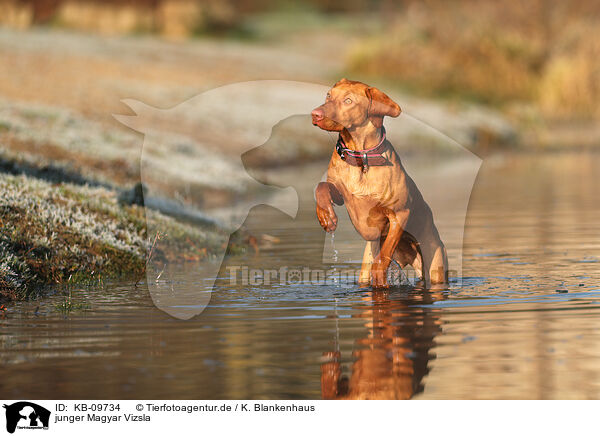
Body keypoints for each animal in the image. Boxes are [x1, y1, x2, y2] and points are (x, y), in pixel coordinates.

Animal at [312, 79, 448, 288]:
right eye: (328, 95)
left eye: (348, 100)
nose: (315, 114)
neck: (361, 158)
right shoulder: (341, 194)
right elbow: (322, 187)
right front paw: (326, 216)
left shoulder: (399, 214)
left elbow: (383, 257)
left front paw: (380, 276)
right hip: (366, 261)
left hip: (435, 263)